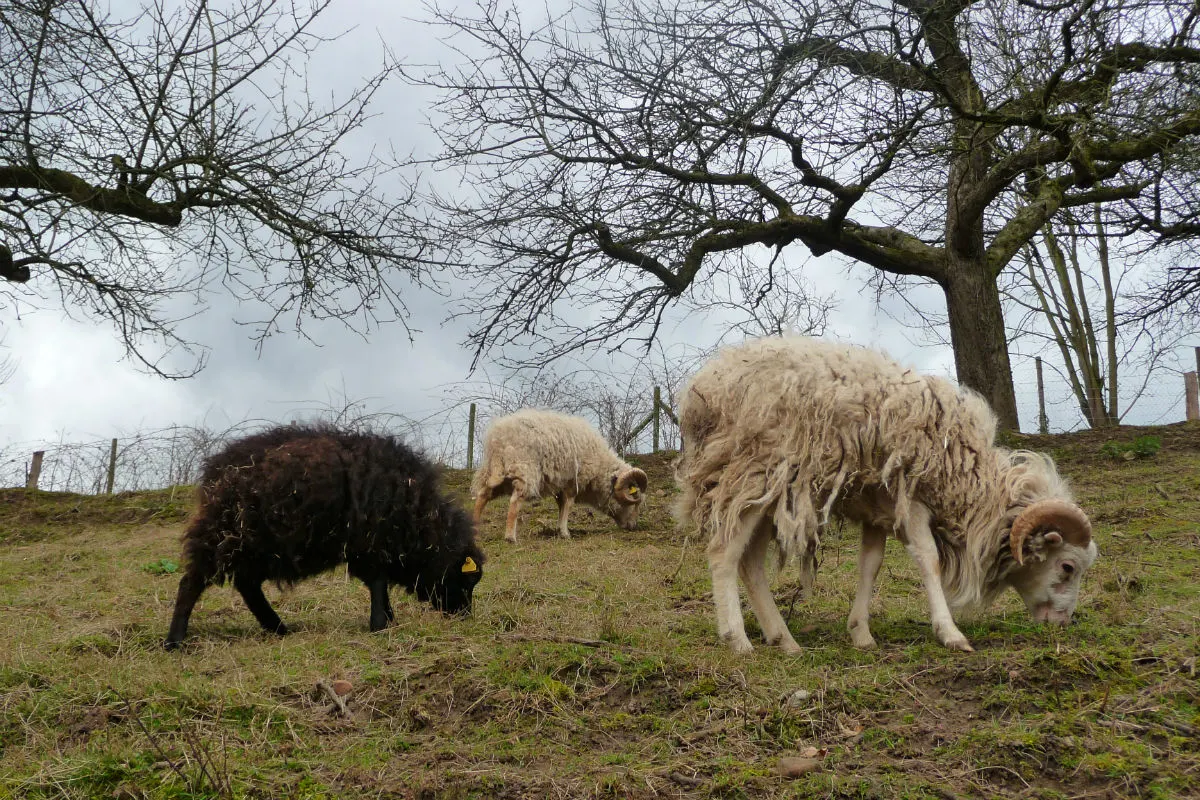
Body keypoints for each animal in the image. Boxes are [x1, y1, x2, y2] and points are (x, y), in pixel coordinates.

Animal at [164, 423, 485, 649]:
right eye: (466, 579)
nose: (465, 617)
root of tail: (214, 470)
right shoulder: (370, 545)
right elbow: (378, 584)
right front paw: (380, 624)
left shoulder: (367, 549)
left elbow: (378, 586)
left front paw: (388, 620)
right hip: (224, 534)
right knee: (191, 583)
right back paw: (174, 641)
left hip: (256, 547)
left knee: (247, 586)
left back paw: (278, 628)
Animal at [471, 409, 649, 542]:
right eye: (635, 499)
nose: (633, 527)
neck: (600, 467)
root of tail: (496, 439)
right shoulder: (573, 481)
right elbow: (568, 504)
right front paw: (565, 533)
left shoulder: (560, 484)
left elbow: (561, 505)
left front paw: (559, 529)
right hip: (524, 470)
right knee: (515, 501)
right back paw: (510, 537)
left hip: (497, 472)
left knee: (483, 495)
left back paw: (475, 531)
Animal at [674, 336, 1097, 654]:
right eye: (1067, 567)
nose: (1062, 624)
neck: (970, 481)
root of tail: (699, 392)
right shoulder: (912, 500)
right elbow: (929, 561)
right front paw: (950, 633)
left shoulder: (877, 506)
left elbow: (870, 565)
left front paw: (860, 633)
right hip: (751, 474)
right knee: (724, 553)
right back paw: (738, 639)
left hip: (772, 497)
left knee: (751, 564)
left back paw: (784, 640)